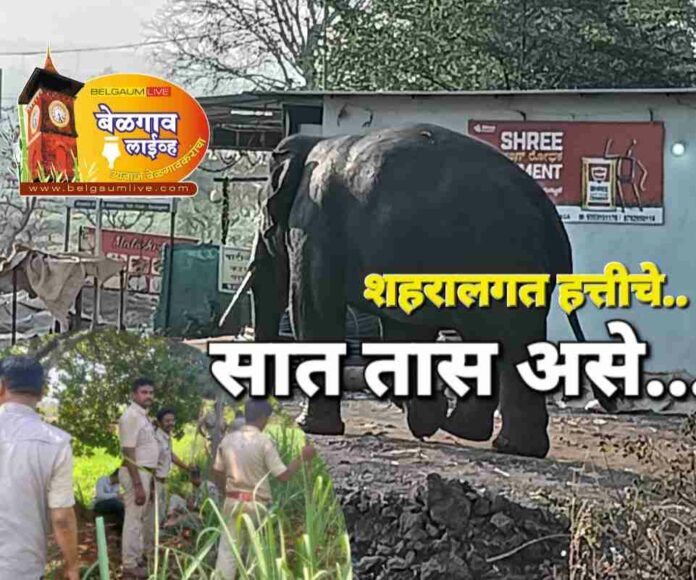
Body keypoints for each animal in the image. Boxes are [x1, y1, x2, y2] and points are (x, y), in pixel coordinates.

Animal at [227, 123, 610, 458]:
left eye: (264, 215)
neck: (311, 143)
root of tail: (550, 216)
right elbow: (403, 328)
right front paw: (424, 417)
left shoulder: (313, 227)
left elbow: (312, 309)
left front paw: (312, 427)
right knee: (496, 340)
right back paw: (482, 436)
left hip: (502, 261)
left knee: (504, 338)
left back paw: (501, 443)